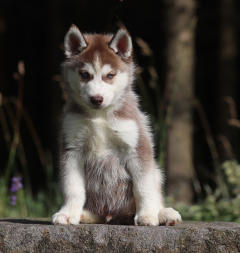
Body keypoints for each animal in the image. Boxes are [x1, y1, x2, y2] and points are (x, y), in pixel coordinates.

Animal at [52, 24, 180, 225]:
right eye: (84, 75)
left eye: (110, 75)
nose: (96, 99)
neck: (100, 116)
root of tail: (113, 215)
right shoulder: (72, 149)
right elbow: (73, 188)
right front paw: (68, 213)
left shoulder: (137, 147)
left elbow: (143, 188)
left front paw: (147, 215)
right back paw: (85, 215)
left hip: (157, 172)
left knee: (153, 193)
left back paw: (163, 213)